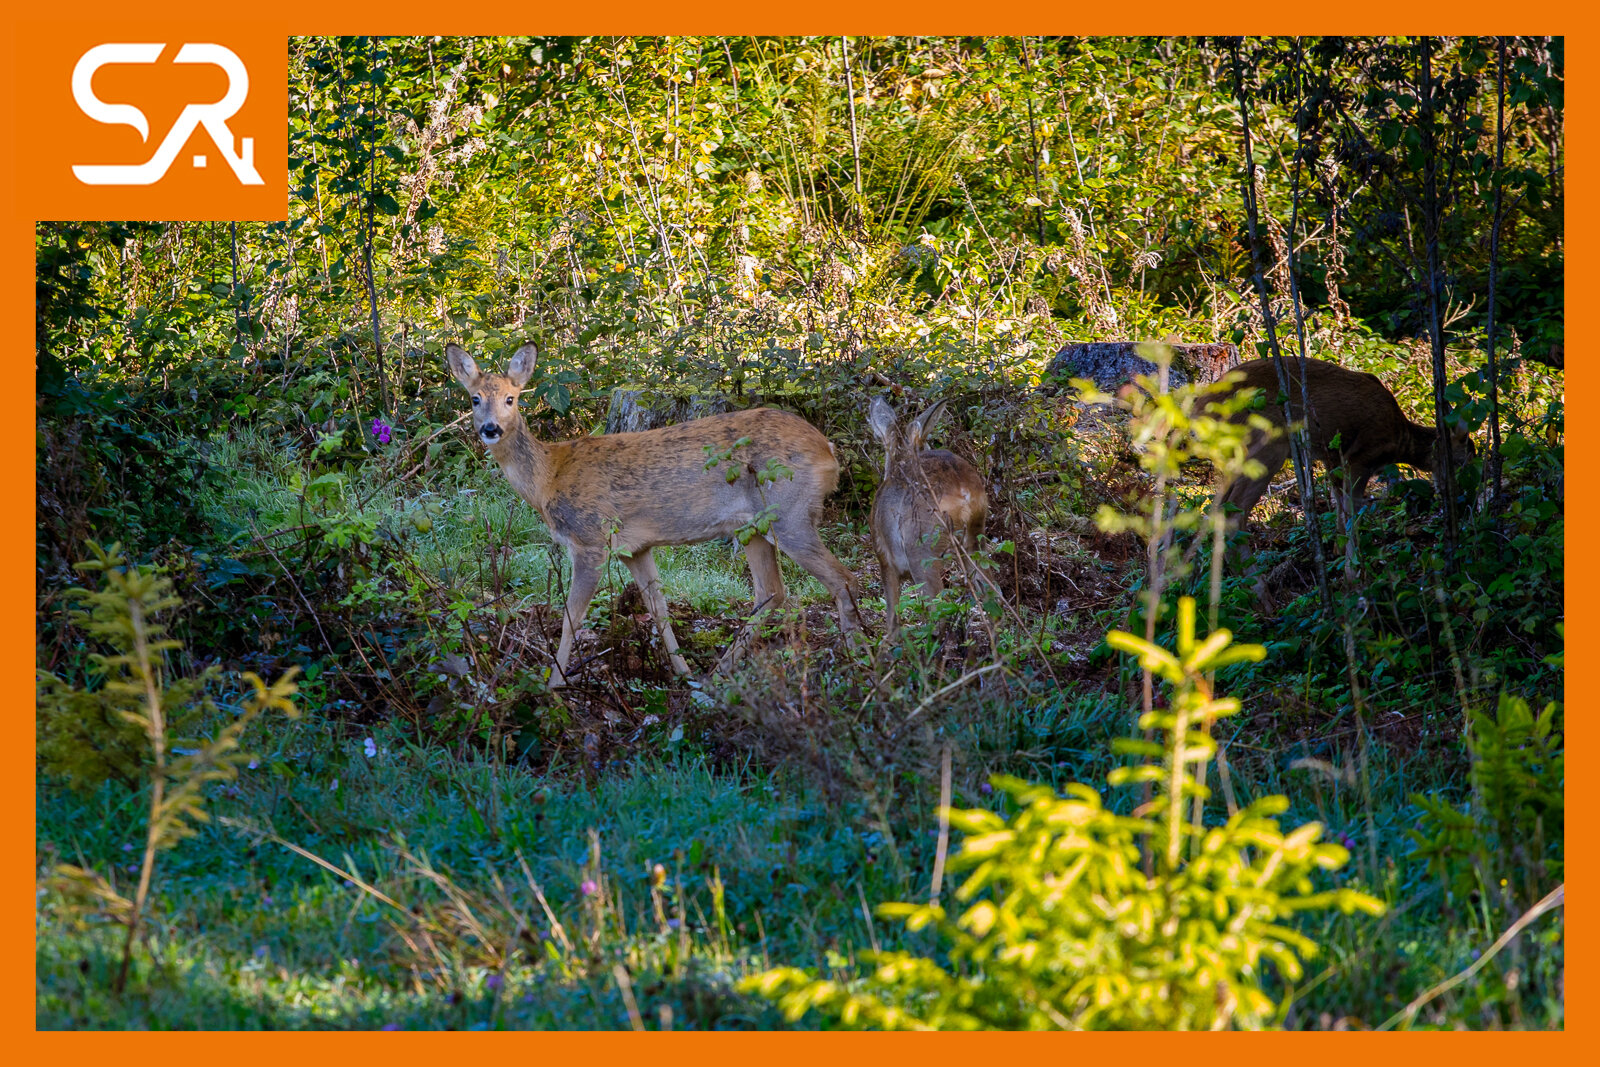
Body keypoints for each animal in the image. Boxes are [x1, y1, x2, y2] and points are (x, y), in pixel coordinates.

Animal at [451, 343, 864, 694]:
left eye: (511, 398)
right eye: (475, 399)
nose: (491, 428)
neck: (549, 477)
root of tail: (828, 450)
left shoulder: (591, 540)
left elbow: (571, 616)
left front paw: (554, 685)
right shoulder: (636, 548)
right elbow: (658, 608)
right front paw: (681, 672)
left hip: (789, 513)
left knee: (843, 579)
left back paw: (856, 660)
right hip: (754, 528)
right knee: (772, 592)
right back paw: (715, 676)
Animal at [870, 398, 992, 633]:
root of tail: (961, 484)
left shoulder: (885, 556)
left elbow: (892, 617)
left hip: (921, 545)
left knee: (937, 609)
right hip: (975, 531)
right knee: (991, 589)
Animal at [1209, 356, 1472, 527]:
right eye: (1464, 460)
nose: (1464, 499)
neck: (1401, 439)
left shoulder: (1332, 457)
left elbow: (1338, 509)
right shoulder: (1360, 456)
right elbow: (1352, 507)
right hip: (1265, 444)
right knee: (1232, 515)